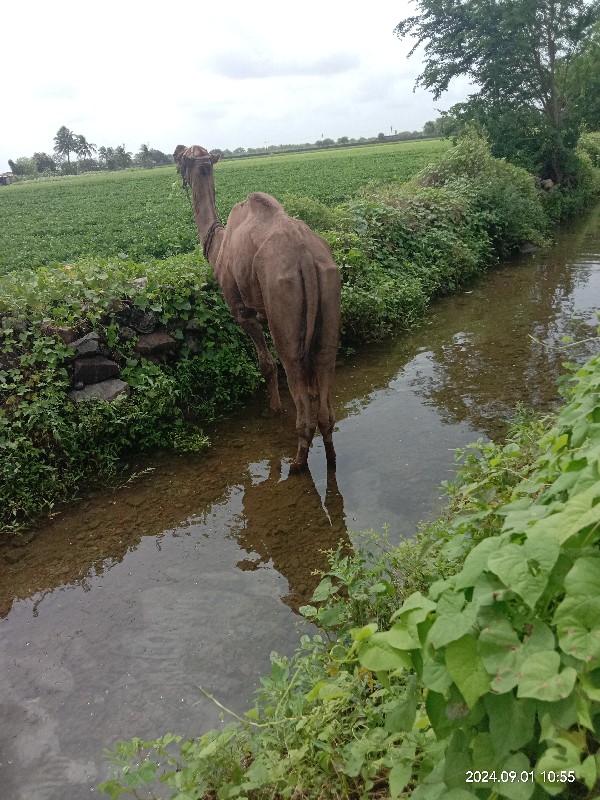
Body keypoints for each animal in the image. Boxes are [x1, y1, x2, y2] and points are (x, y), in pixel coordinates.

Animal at [173, 144, 342, 472]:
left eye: (184, 156)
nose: (175, 156)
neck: (218, 245)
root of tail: (306, 257)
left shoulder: (242, 310)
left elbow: (266, 364)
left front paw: (273, 409)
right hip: (329, 287)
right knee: (324, 370)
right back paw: (330, 456)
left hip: (282, 297)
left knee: (292, 368)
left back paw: (298, 462)